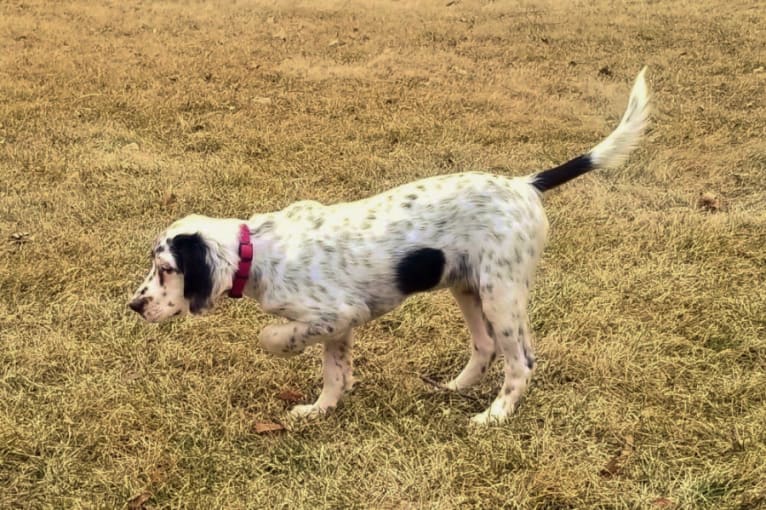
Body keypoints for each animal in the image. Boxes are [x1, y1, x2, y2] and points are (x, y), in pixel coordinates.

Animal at [129, 68, 652, 426]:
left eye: (166, 269)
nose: (134, 305)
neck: (256, 251)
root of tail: (525, 184)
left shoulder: (337, 315)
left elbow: (273, 336)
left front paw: (280, 347)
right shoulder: (336, 327)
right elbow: (335, 373)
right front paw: (321, 409)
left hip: (501, 292)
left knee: (521, 361)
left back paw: (494, 416)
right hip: (467, 287)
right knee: (483, 347)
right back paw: (452, 388)